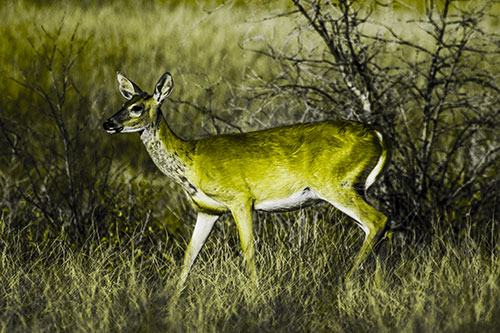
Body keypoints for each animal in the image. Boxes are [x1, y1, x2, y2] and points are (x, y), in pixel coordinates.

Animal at [101, 70, 390, 286]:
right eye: (122, 103)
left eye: (137, 107)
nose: (107, 123)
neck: (190, 161)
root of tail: (378, 136)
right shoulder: (207, 209)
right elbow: (189, 256)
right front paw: (171, 301)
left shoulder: (240, 198)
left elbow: (248, 250)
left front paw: (254, 294)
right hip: (354, 187)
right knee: (376, 229)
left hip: (335, 184)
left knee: (378, 221)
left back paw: (347, 281)